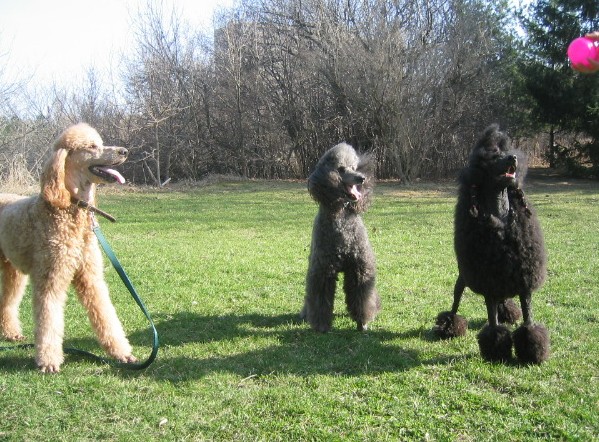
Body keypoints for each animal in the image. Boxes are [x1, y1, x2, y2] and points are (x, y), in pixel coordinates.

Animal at [0, 123, 137, 372]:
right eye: (91, 146)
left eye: (100, 142)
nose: (124, 151)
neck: (70, 210)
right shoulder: (51, 278)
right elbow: (49, 318)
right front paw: (49, 361)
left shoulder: (91, 276)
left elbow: (106, 314)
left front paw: (122, 353)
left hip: (12, 269)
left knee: (7, 300)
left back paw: (10, 333)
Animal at [300, 143, 381, 332]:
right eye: (341, 169)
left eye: (354, 167)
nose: (361, 178)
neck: (340, 217)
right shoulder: (322, 271)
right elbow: (321, 299)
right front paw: (322, 326)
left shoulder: (359, 268)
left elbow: (361, 297)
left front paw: (362, 323)